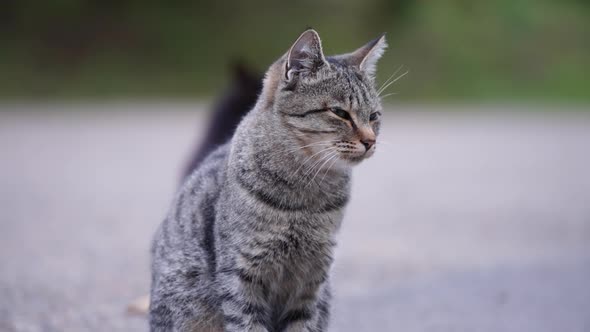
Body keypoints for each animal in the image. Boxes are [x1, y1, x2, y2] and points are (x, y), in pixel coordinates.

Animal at [150, 29, 386, 330]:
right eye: (340, 113)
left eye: (374, 116)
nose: (371, 141)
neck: (306, 192)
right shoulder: (241, 276)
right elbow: (247, 322)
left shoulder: (311, 282)